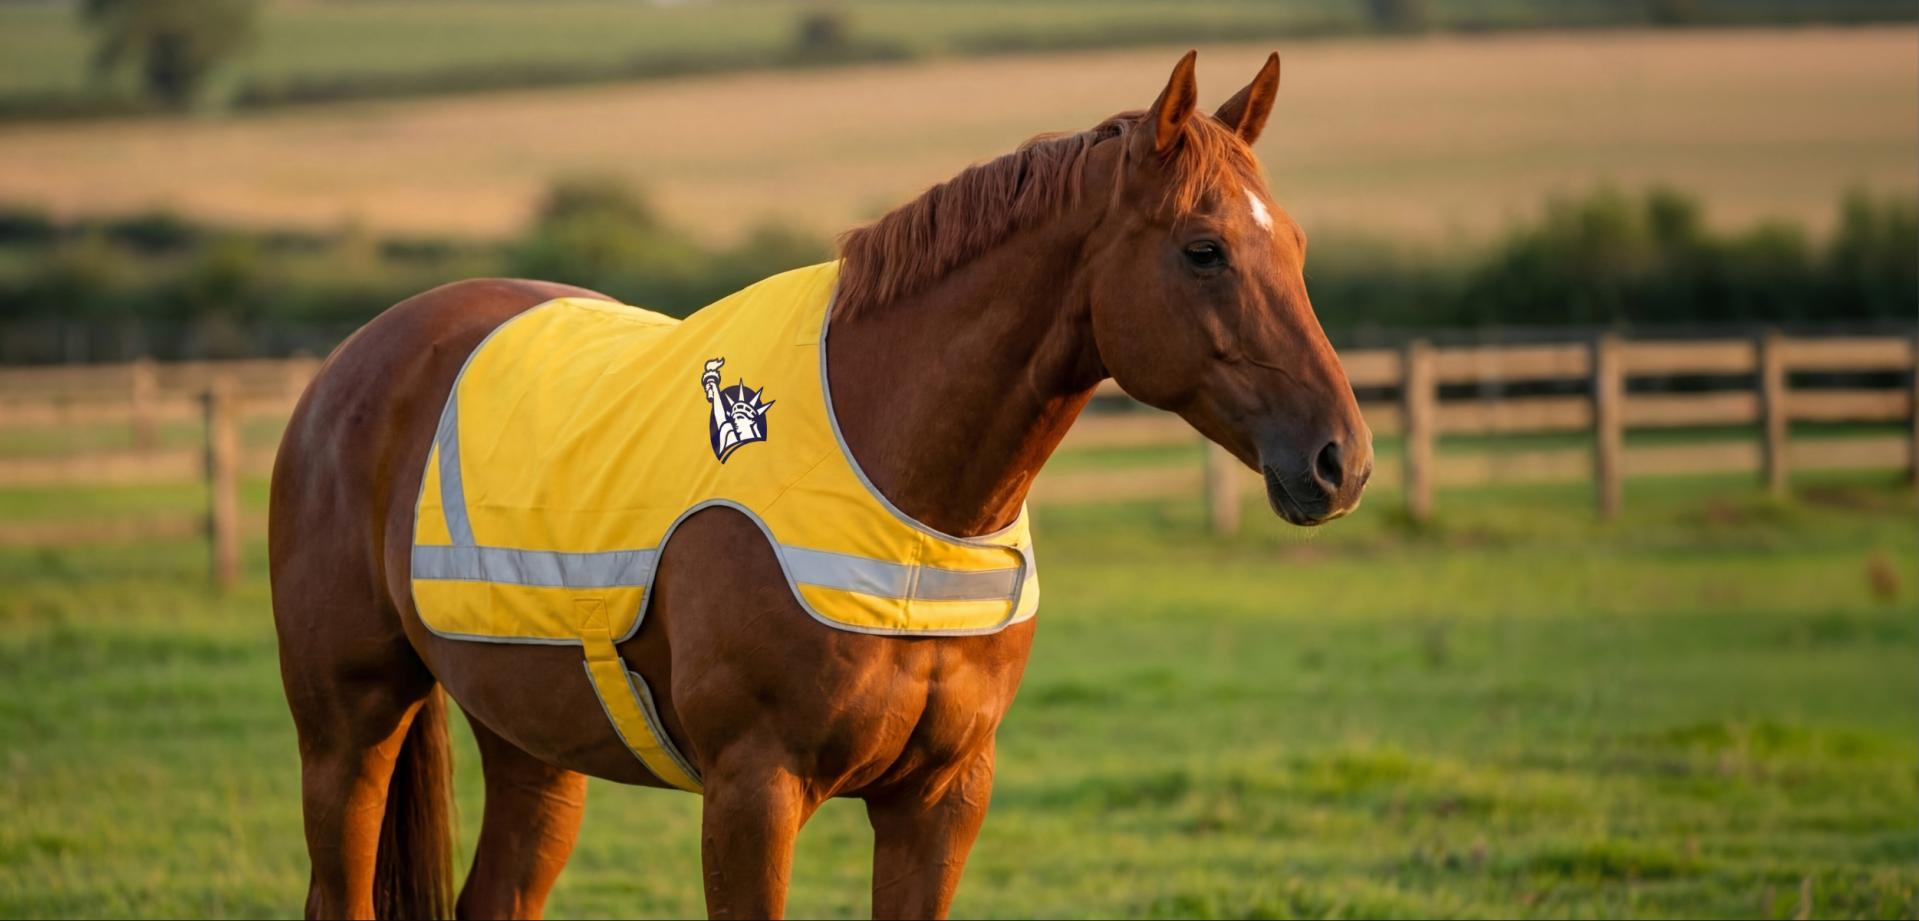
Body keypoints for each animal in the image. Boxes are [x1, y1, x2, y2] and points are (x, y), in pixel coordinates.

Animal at [269, 50, 1371, 920]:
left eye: (1296, 247)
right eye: (1203, 250)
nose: (1341, 460)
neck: (905, 494)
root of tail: (350, 364)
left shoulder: (940, 800)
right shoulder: (753, 795)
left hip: (531, 742)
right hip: (347, 729)